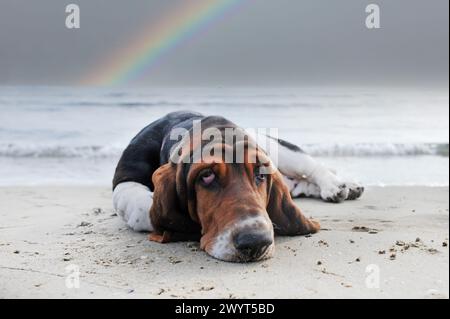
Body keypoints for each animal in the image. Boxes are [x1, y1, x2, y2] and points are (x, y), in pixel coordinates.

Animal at [113, 112, 366, 262]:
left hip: (278, 149)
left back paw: (338, 186)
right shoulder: (124, 180)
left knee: (314, 167)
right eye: (206, 176)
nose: (256, 242)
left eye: (261, 174)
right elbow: (144, 208)